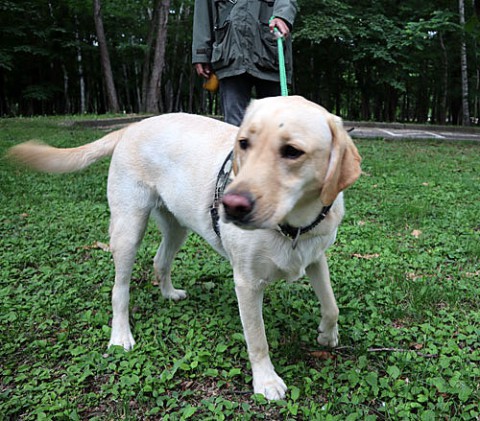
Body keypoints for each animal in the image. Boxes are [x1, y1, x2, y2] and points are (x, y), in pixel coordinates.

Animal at [7, 97, 360, 398]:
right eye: (244, 143)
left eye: (292, 151)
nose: (231, 205)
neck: (294, 225)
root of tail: (134, 125)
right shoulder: (246, 283)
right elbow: (257, 339)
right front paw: (266, 381)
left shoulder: (315, 257)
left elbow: (332, 306)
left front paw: (327, 335)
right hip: (128, 227)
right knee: (119, 289)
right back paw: (120, 336)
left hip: (177, 226)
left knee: (160, 261)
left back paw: (168, 293)